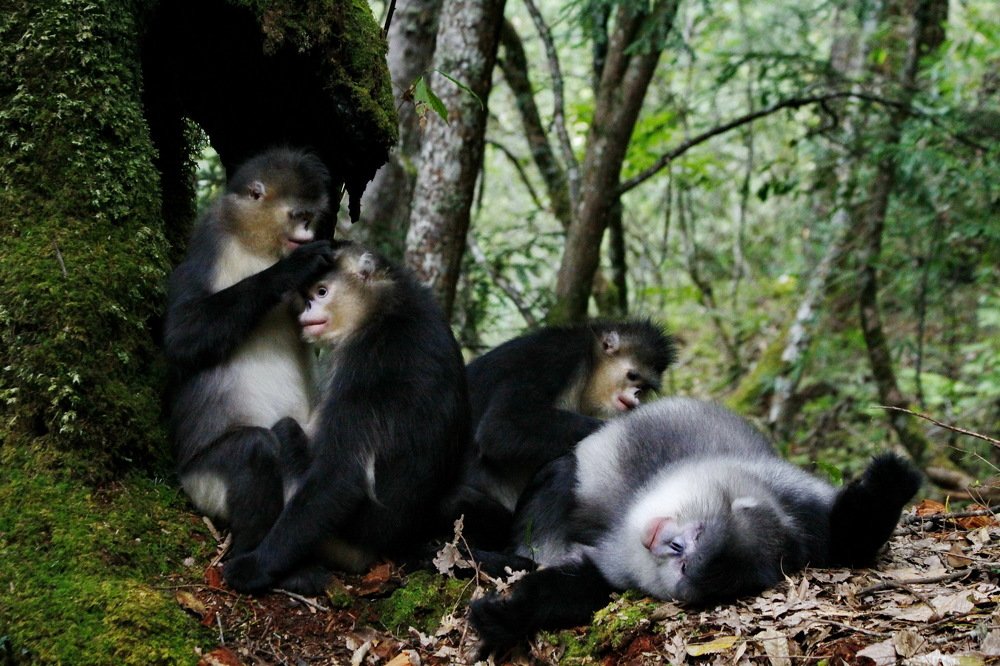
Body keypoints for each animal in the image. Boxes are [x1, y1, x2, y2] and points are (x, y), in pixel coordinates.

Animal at [164, 147, 334, 559]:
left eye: (312, 217)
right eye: (298, 215)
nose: (307, 234)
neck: (256, 245)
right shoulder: (208, 244)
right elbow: (180, 336)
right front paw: (290, 269)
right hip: (202, 485)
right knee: (254, 447)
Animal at [222, 241, 470, 593]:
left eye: (322, 292)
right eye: (308, 295)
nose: (306, 312)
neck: (385, 305)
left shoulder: (366, 360)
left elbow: (341, 474)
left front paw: (254, 567)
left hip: (337, 541)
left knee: (286, 431)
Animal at [443, 320, 676, 549]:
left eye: (644, 387)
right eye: (632, 376)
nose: (636, 395)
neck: (589, 364)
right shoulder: (558, 355)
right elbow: (501, 427)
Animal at [469, 397, 922, 655]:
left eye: (687, 565)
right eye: (694, 536)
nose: (668, 546)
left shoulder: (619, 568)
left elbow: (585, 586)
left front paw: (512, 616)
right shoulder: (793, 497)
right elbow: (847, 539)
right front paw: (891, 482)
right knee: (563, 470)